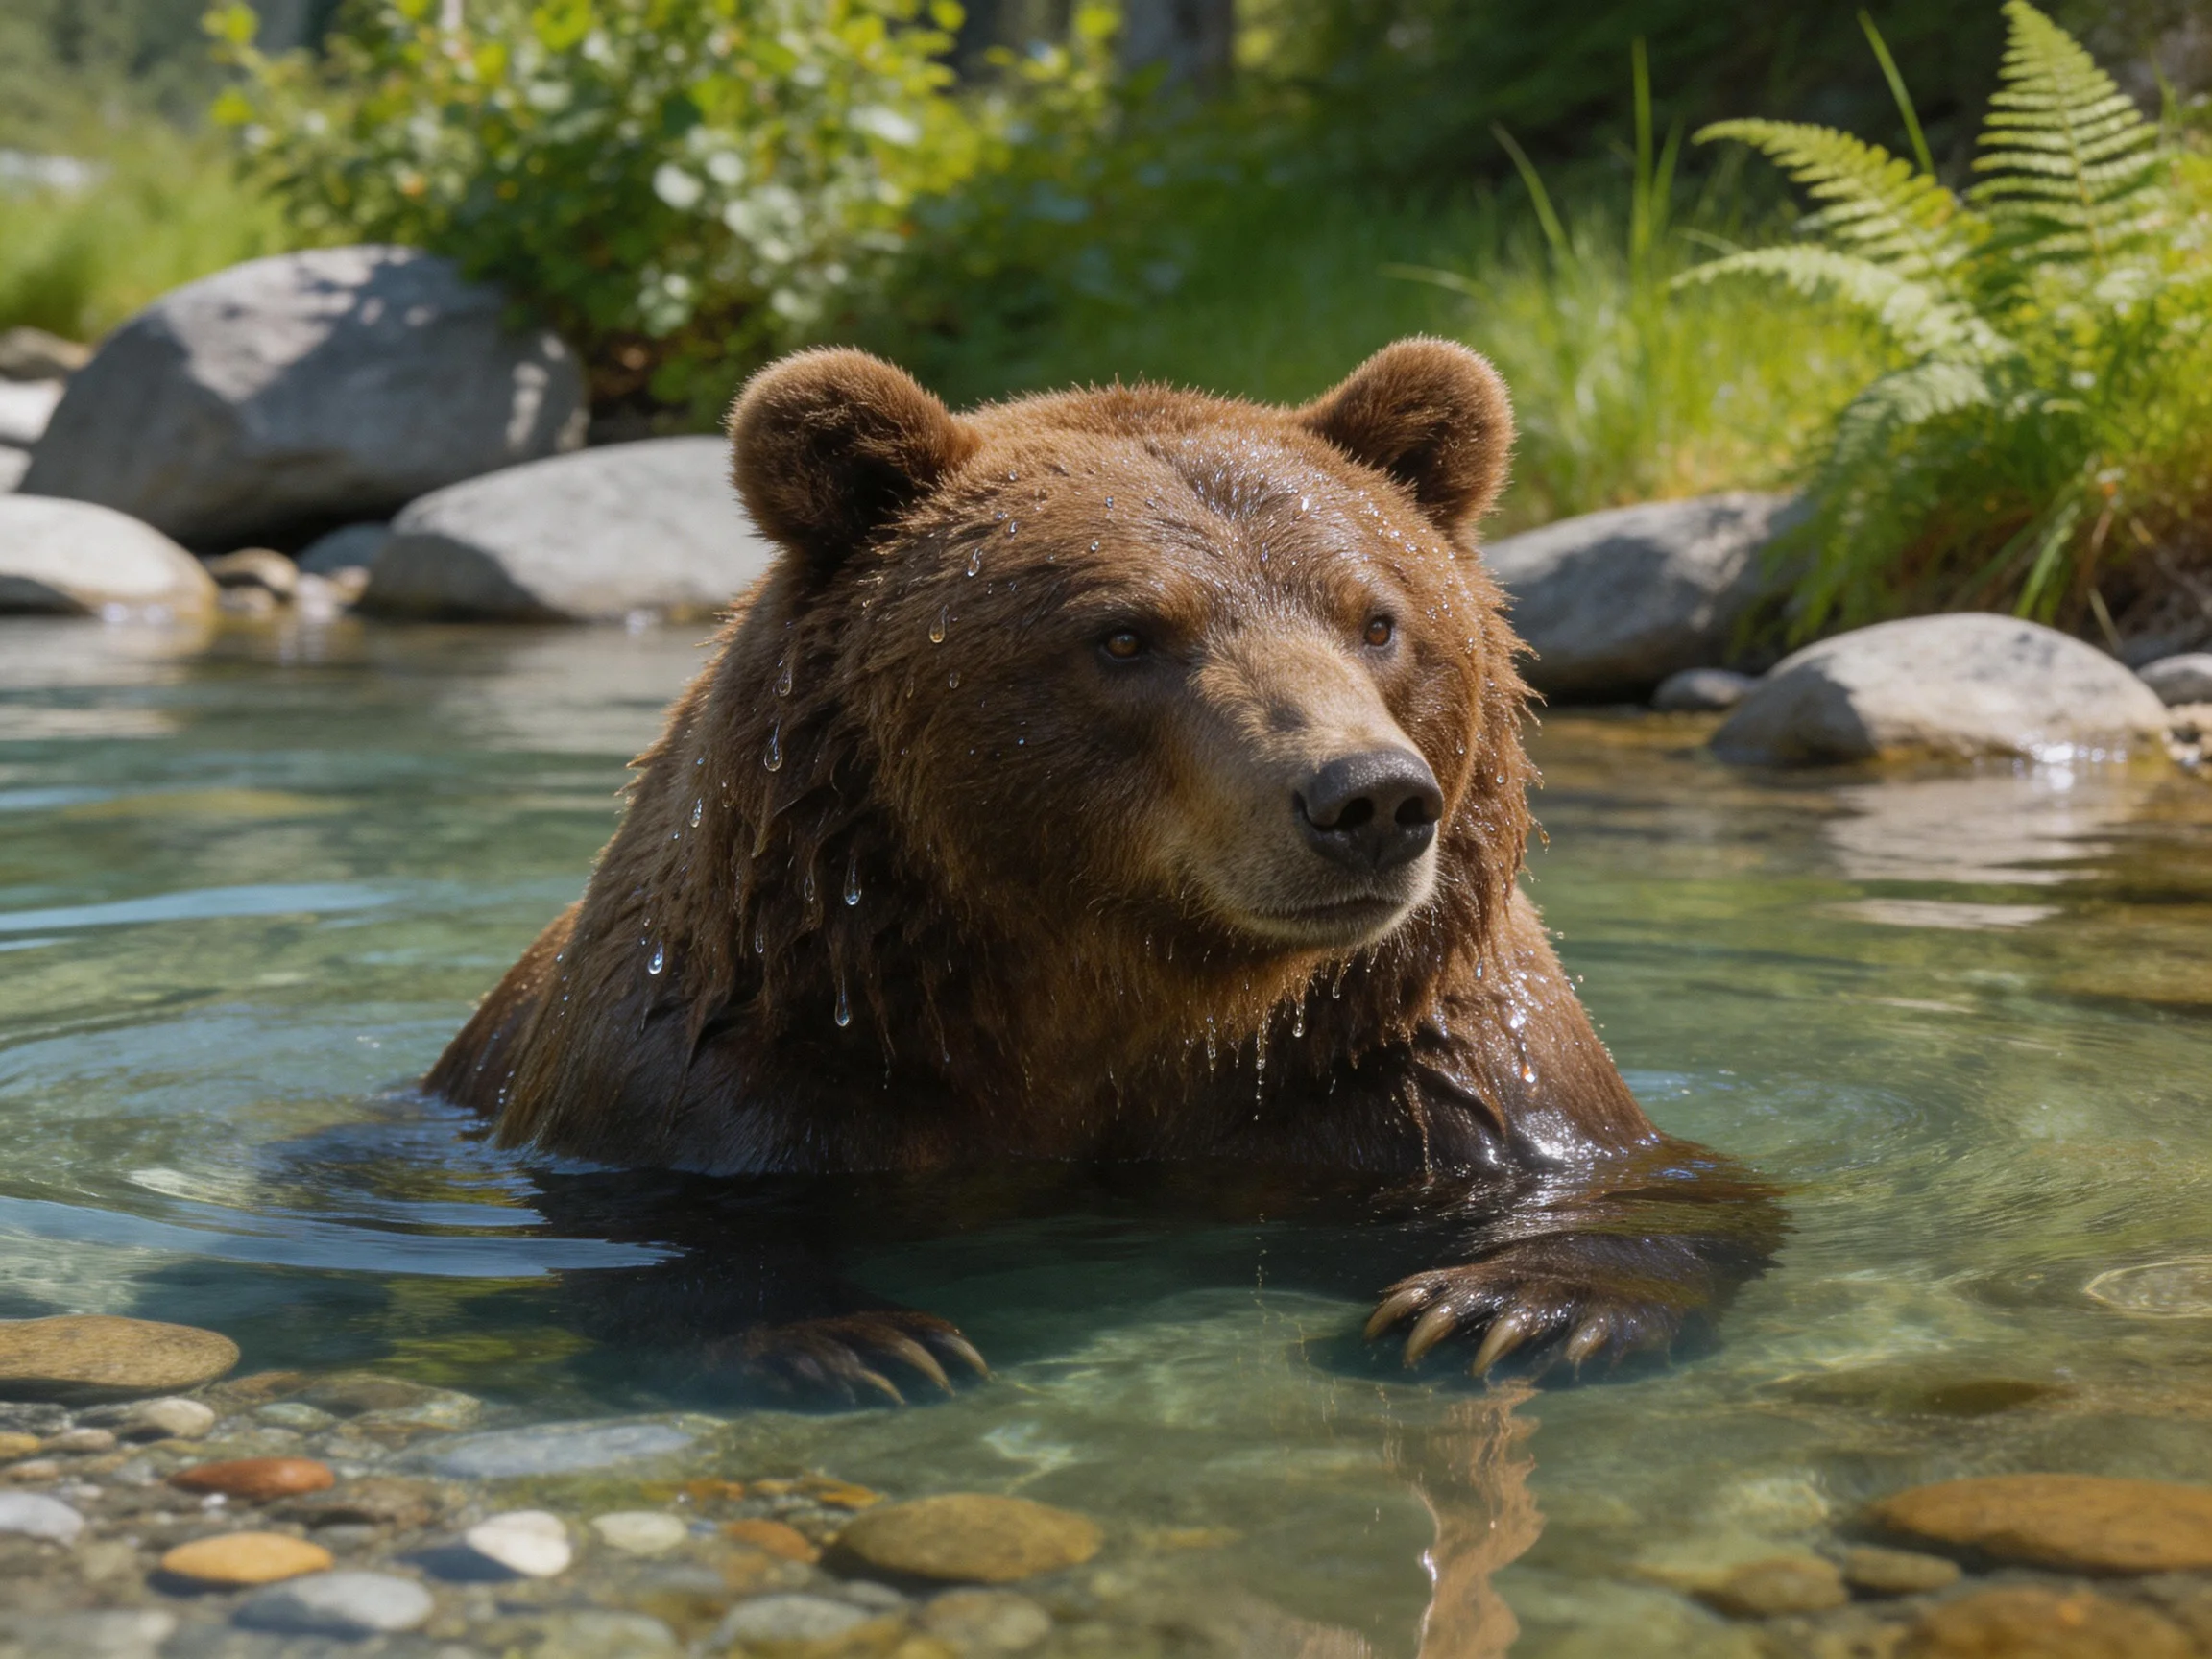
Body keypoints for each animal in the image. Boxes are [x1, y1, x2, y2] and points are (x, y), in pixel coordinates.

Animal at [428, 338, 1780, 1399]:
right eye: (1126, 635)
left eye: (1378, 619)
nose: (1371, 799)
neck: (1122, 989)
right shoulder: (741, 1052)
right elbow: (656, 1231)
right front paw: (849, 1339)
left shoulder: (1413, 1050)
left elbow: (1649, 1187)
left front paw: (1504, 1309)